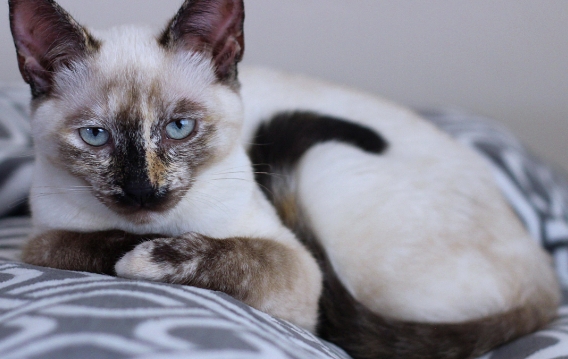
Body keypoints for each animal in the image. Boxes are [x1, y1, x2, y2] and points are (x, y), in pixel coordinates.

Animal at [7, 0, 560, 359]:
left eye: (179, 128)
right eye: (95, 137)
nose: (145, 191)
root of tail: (546, 277)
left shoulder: (297, 270)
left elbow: (238, 253)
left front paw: (149, 258)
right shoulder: (40, 239)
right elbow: (83, 244)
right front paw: (130, 251)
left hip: (327, 178)